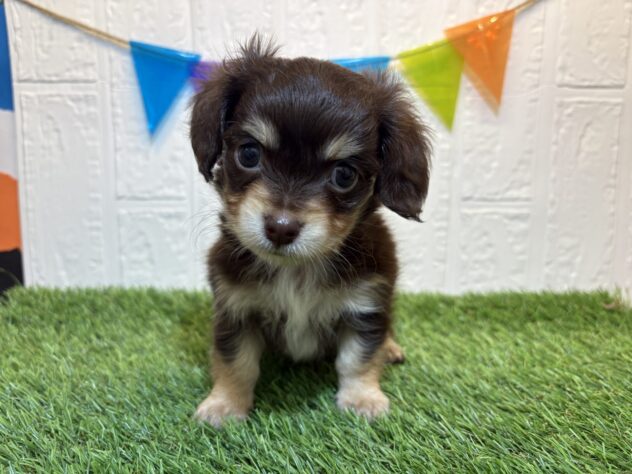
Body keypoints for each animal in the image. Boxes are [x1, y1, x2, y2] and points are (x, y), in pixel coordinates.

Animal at [190, 36, 430, 427]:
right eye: (249, 154)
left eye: (344, 175)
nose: (280, 228)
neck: (296, 271)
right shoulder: (235, 307)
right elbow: (235, 362)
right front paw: (224, 406)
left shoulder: (366, 304)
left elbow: (358, 358)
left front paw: (362, 400)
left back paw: (391, 348)